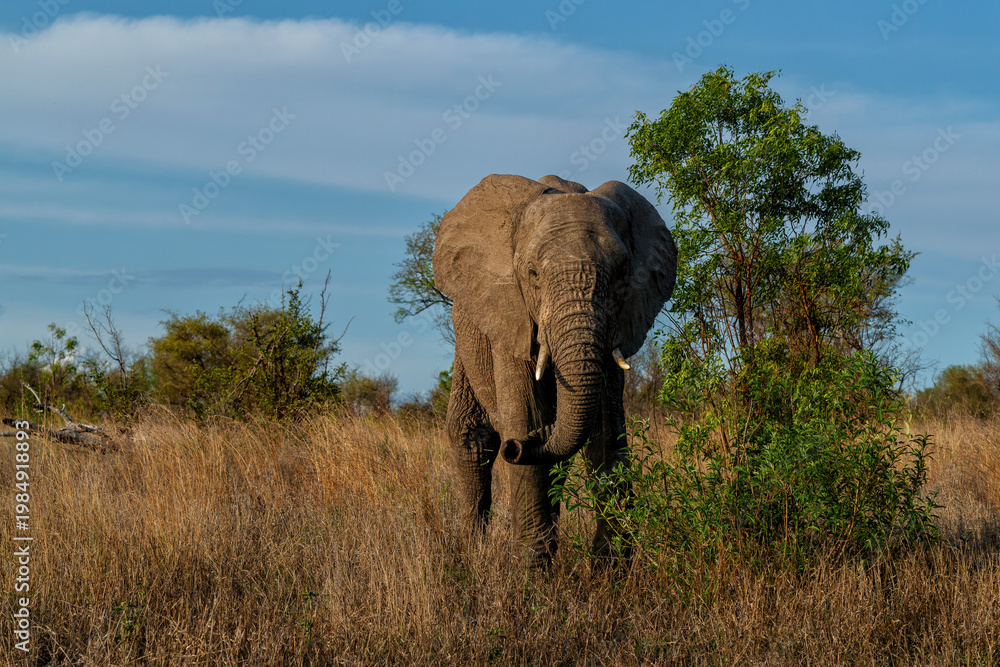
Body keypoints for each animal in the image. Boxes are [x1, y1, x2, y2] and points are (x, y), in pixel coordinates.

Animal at [432, 173, 677, 566]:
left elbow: (606, 432)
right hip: (467, 328)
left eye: (622, 273)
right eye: (532, 274)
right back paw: (470, 553)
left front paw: (610, 569)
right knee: (474, 436)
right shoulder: (512, 315)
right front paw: (530, 571)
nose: (517, 447)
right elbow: (528, 418)